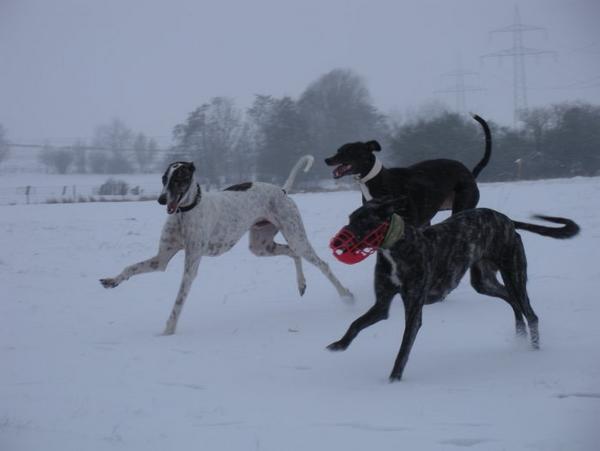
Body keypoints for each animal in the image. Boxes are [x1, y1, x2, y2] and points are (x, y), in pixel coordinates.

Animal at [326, 113, 490, 226]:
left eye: (349, 151)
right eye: (338, 150)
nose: (326, 160)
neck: (377, 180)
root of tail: (469, 173)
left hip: (462, 205)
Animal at [326, 200, 580, 384]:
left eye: (363, 221)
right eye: (350, 218)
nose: (336, 243)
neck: (395, 246)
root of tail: (507, 220)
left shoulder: (414, 307)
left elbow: (404, 348)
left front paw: (394, 379)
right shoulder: (382, 304)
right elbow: (356, 323)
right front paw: (339, 344)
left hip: (514, 274)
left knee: (530, 312)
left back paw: (533, 351)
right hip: (484, 281)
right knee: (512, 302)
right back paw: (519, 335)